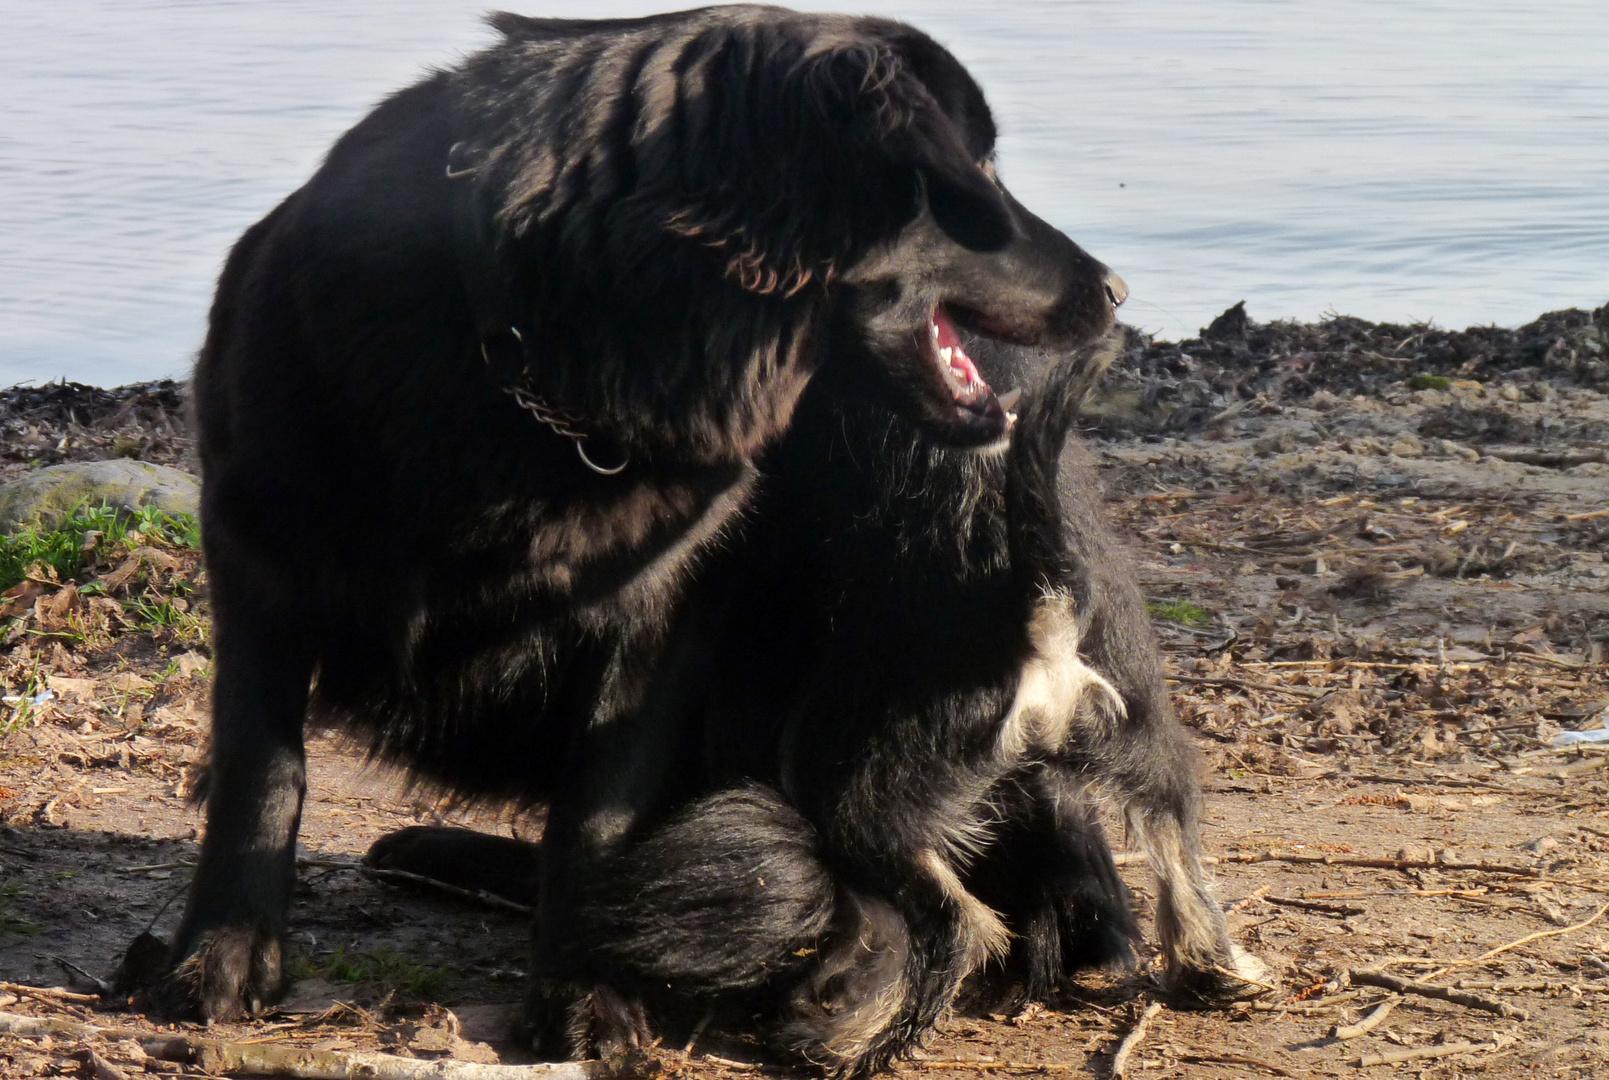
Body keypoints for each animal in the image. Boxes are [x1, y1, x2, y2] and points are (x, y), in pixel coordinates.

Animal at [156, 6, 1126, 1023]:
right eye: (975, 171)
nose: (1116, 291)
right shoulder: (256, 556)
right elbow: (263, 771)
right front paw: (225, 949)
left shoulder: (662, 616)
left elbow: (597, 810)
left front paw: (586, 987)